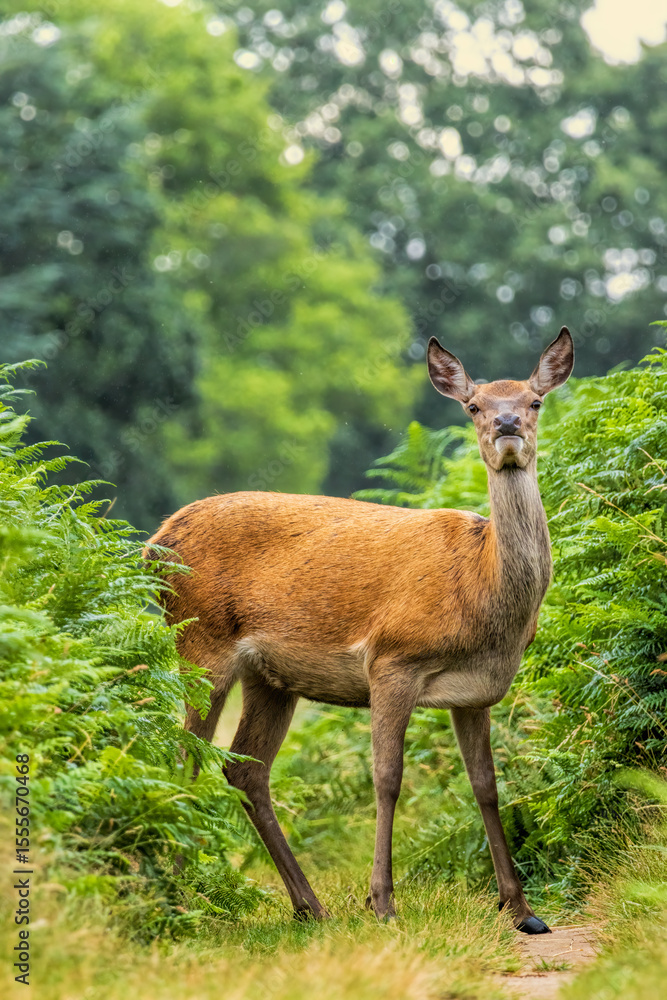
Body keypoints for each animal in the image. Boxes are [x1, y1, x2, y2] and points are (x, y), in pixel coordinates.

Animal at [147, 327, 574, 934]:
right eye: (473, 406)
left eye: (535, 401)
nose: (507, 425)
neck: (481, 586)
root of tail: (152, 543)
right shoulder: (393, 660)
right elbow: (388, 778)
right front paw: (383, 903)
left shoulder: (476, 691)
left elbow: (487, 786)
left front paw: (522, 910)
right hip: (199, 642)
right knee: (188, 758)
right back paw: (180, 898)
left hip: (269, 677)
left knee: (244, 768)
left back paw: (309, 906)